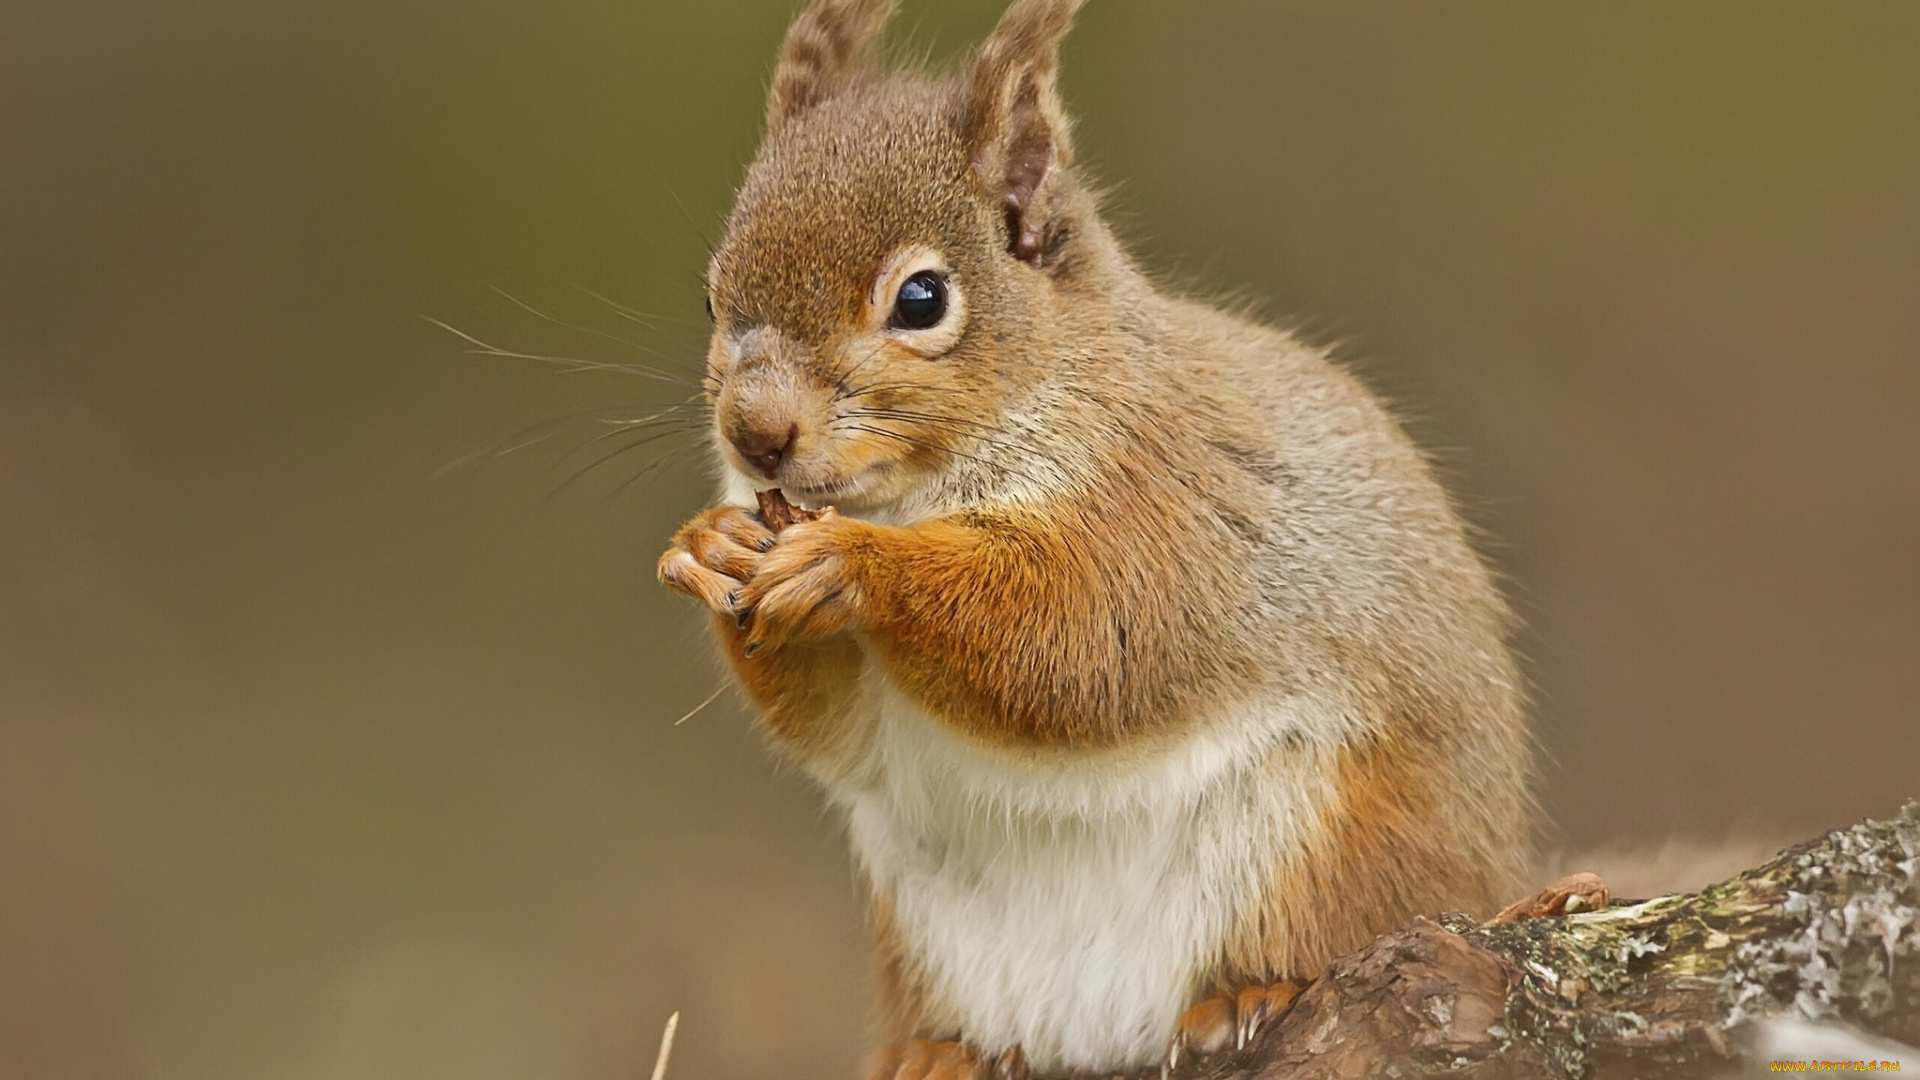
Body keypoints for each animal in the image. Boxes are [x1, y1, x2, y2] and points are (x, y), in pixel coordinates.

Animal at [652, 2, 1551, 1076]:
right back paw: (943, 1051)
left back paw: (1250, 993)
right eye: (711, 295)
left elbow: (1083, 638)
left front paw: (853, 566)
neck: (910, 497)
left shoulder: (1166, 506)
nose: (756, 434)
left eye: (921, 299)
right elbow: (834, 726)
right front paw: (707, 545)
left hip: (1330, 842)